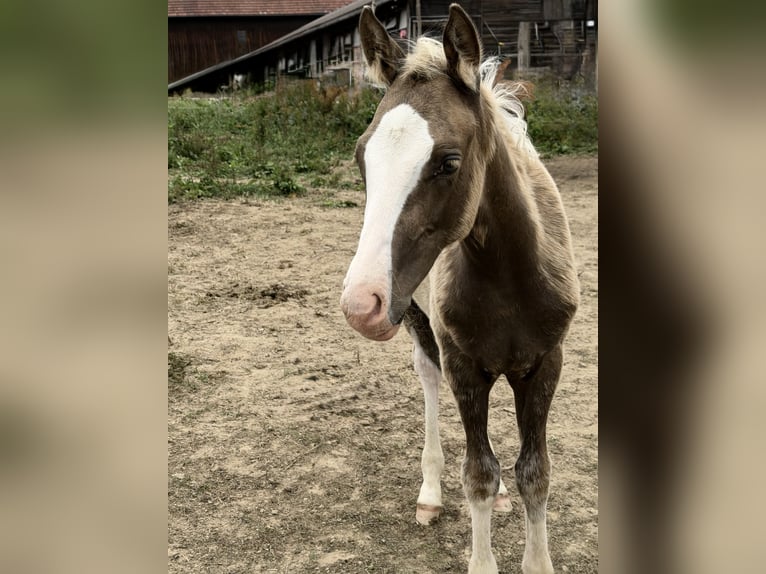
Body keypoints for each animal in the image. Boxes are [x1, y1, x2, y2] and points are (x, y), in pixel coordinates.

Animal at [340, 5, 579, 573]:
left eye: (448, 161)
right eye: (362, 158)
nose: (361, 303)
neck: (511, 281)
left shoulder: (546, 363)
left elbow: (533, 472)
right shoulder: (464, 366)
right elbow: (478, 475)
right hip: (417, 320)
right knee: (429, 384)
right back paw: (429, 493)